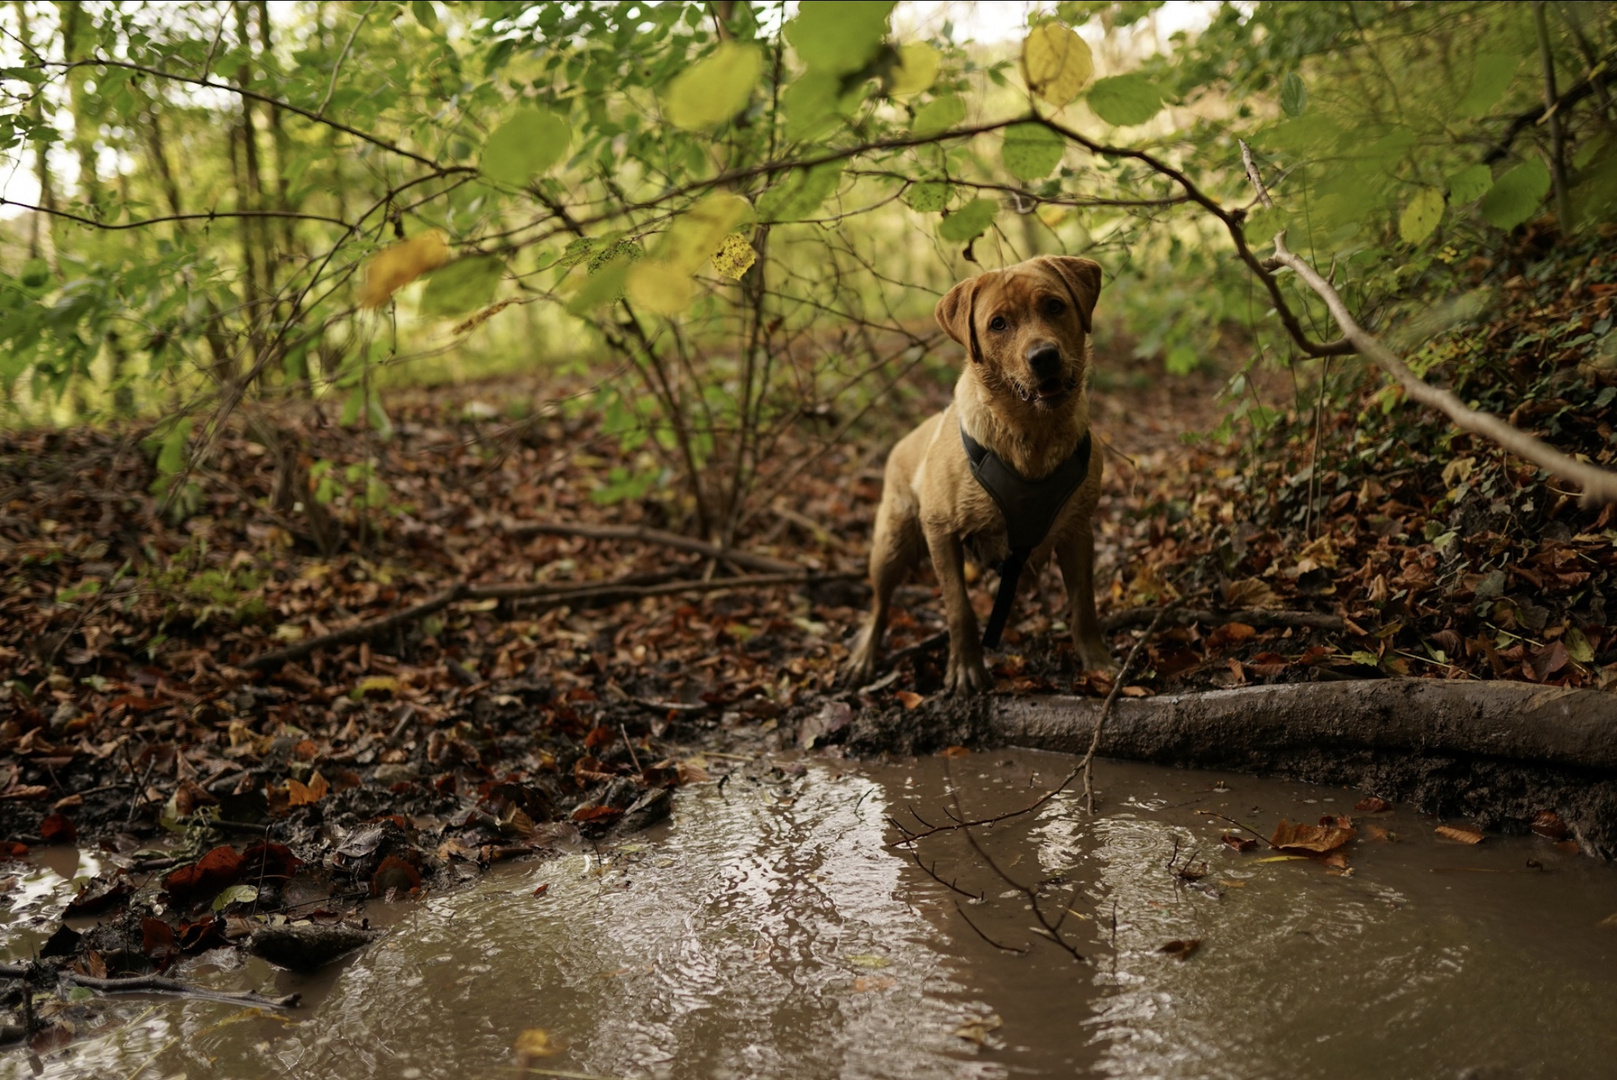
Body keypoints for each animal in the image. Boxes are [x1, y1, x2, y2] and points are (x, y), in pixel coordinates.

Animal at [847, 255, 1112, 691]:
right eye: (998, 324)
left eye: (1055, 306)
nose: (1044, 357)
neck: (1032, 434)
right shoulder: (940, 530)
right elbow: (959, 608)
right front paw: (966, 669)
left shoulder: (1078, 530)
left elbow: (1084, 603)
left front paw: (1097, 661)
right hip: (890, 545)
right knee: (878, 604)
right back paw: (864, 656)